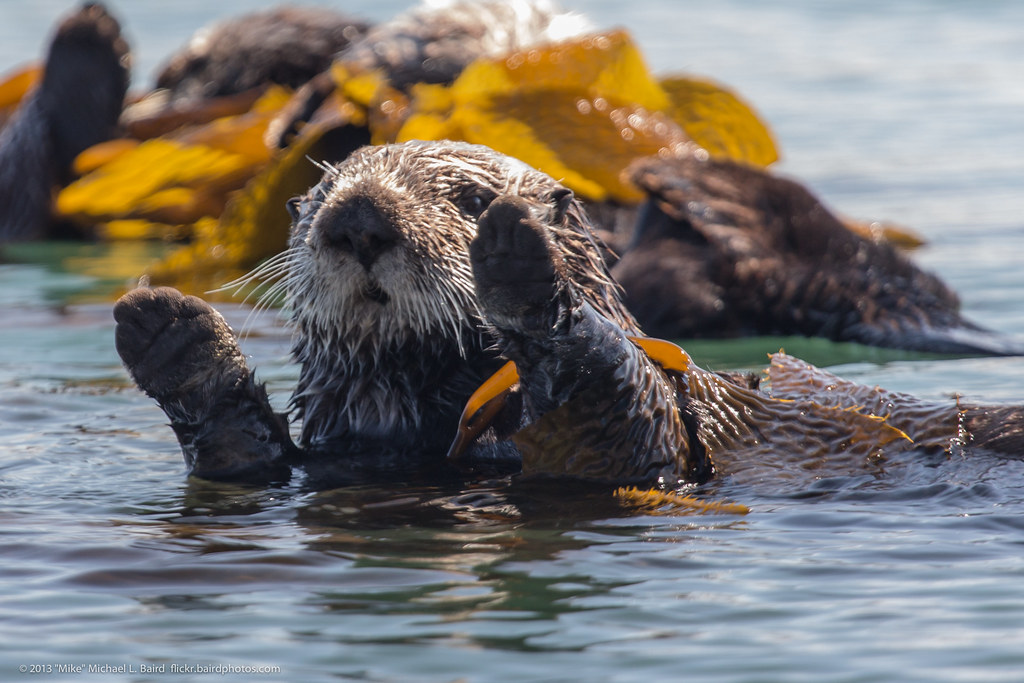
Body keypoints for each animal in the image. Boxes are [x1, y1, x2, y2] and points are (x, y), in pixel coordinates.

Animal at [115, 141, 1024, 490]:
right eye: (316, 202)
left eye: (467, 197)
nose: (359, 217)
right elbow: (240, 458)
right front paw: (172, 335)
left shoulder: (655, 443)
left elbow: (625, 414)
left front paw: (520, 261)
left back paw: (702, 183)